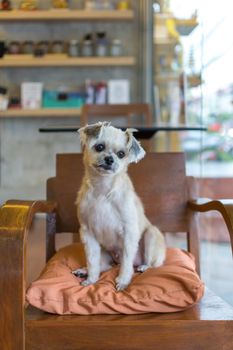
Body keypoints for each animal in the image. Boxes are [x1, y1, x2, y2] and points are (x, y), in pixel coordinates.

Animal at [73, 121, 166, 292]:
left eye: (121, 154)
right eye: (99, 147)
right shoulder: (88, 234)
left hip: (151, 234)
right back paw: (84, 270)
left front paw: (123, 281)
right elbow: (92, 261)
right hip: (105, 252)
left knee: (150, 264)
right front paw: (91, 279)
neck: (103, 190)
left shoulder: (129, 233)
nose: (110, 159)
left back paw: (144, 267)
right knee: (104, 266)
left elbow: (126, 263)